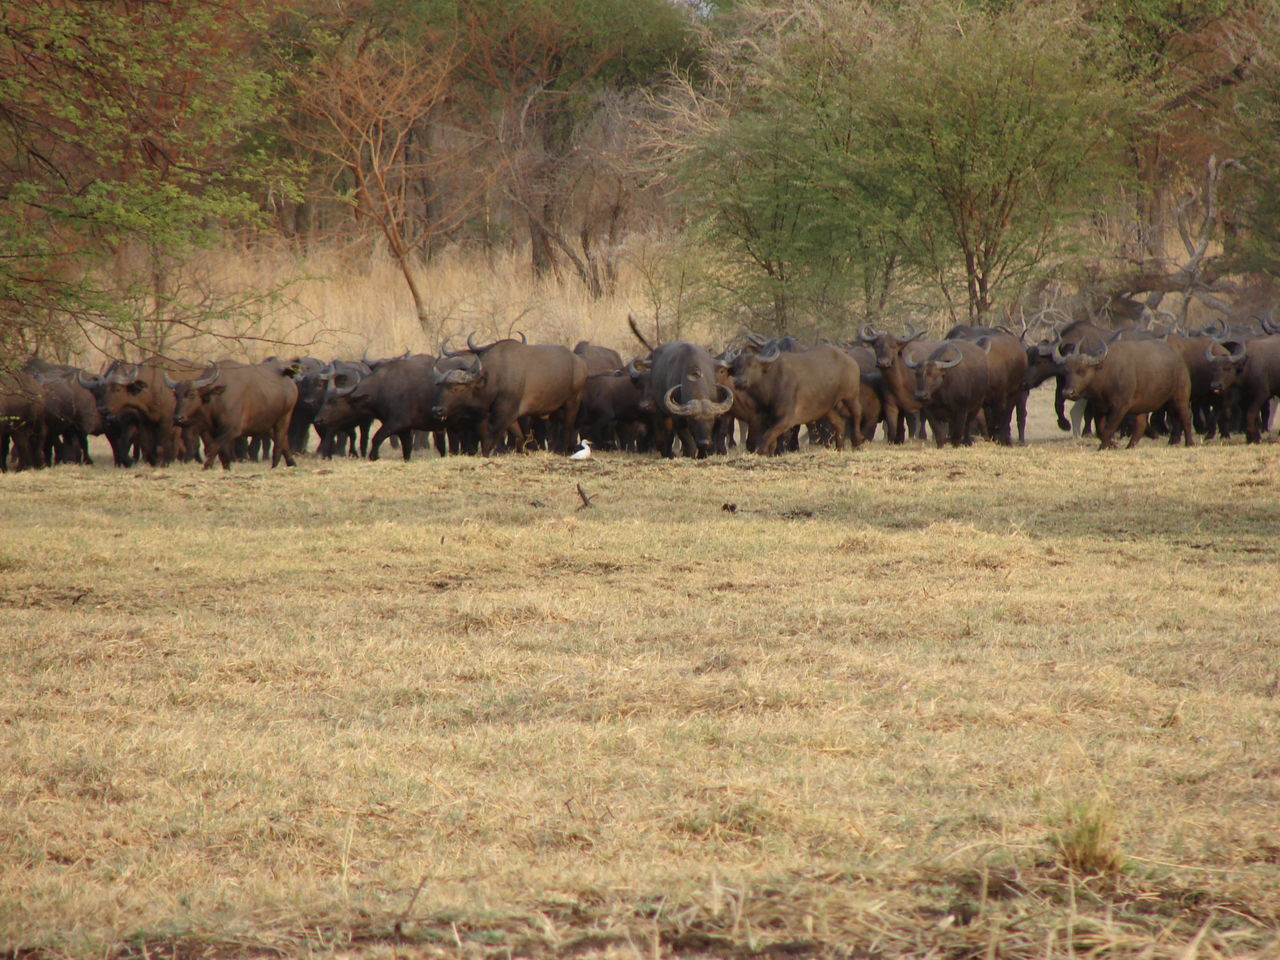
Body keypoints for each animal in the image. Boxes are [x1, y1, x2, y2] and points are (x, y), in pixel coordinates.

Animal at [168, 360, 298, 471]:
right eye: (176, 395)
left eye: (191, 394)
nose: (178, 418)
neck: (216, 399)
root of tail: (288, 378)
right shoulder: (211, 429)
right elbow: (221, 451)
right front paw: (226, 467)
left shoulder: (232, 429)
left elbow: (214, 446)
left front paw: (207, 466)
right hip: (268, 425)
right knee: (283, 442)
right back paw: (292, 464)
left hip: (283, 419)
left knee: (279, 443)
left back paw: (274, 466)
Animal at [432, 335, 586, 455]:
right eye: (440, 386)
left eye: (456, 388)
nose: (437, 410)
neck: (494, 378)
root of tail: (578, 362)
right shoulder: (509, 416)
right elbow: (518, 435)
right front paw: (523, 451)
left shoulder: (505, 413)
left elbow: (490, 438)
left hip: (572, 401)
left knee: (567, 426)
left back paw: (562, 450)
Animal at [732, 343, 860, 455]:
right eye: (736, 367)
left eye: (753, 365)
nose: (739, 382)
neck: (771, 384)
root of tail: (850, 360)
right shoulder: (769, 418)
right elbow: (772, 437)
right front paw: (770, 453)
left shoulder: (788, 419)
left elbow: (768, 434)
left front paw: (761, 452)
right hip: (827, 408)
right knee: (839, 423)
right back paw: (840, 448)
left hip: (851, 396)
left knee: (856, 414)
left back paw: (857, 443)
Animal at [1054, 337, 1192, 450]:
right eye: (1066, 371)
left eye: (1082, 370)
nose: (1067, 392)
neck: (1105, 376)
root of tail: (1179, 358)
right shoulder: (1098, 408)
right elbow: (1100, 430)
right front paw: (1112, 445)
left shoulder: (1120, 407)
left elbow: (1108, 429)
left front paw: (1103, 446)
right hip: (1149, 405)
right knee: (1144, 424)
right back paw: (1134, 445)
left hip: (1180, 397)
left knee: (1185, 416)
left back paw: (1189, 443)